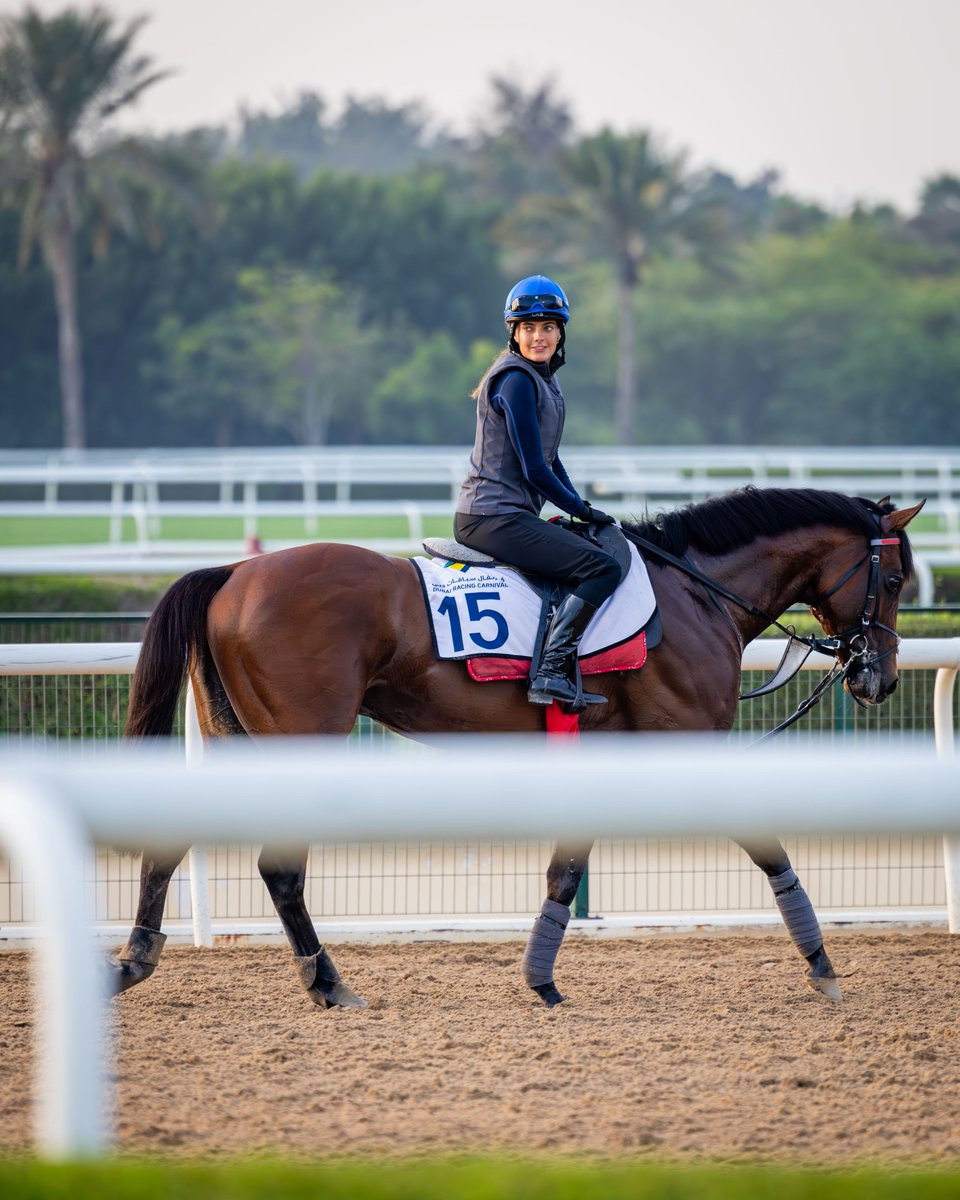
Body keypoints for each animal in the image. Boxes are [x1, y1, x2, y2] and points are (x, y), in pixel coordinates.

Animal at [111, 486, 922, 1009]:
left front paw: (540, 977)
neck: (696, 594)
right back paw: (327, 982)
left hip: (239, 741)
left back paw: (138, 957)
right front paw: (822, 964)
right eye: (893, 577)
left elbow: (566, 871)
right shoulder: (689, 749)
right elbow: (769, 848)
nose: (878, 678)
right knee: (281, 869)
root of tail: (235, 573)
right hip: (296, 741)